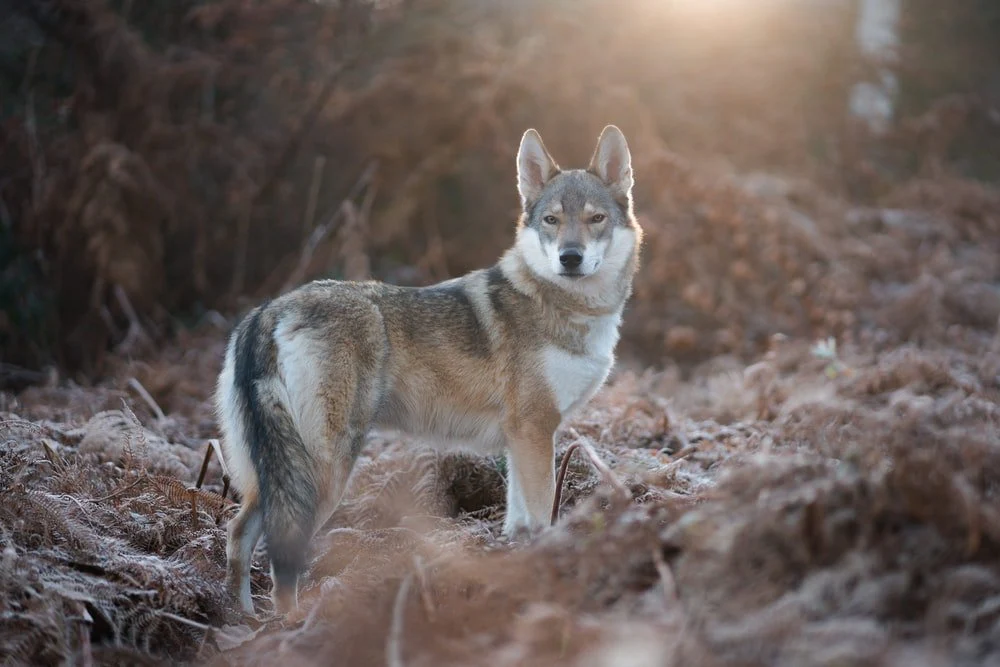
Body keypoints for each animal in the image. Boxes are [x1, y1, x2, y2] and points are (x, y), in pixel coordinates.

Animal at [215, 125, 643, 616]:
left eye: (596, 219)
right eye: (552, 221)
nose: (570, 258)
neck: (566, 308)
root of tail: (268, 310)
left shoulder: (520, 439)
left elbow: (518, 522)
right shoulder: (535, 429)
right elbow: (541, 516)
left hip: (272, 475)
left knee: (237, 534)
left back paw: (244, 621)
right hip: (324, 473)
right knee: (280, 554)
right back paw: (290, 622)